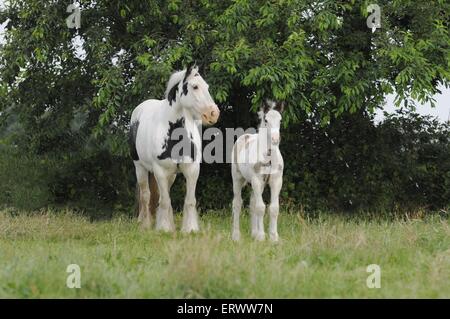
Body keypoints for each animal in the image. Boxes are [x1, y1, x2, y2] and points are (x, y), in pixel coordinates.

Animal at [129, 63, 221, 232]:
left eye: (207, 86)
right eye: (195, 86)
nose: (213, 113)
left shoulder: (192, 169)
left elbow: (189, 200)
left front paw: (190, 229)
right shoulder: (159, 170)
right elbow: (163, 200)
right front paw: (164, 228)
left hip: (170, 175)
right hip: (140, 167)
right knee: (145, 195)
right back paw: (144, 223)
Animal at [232, 101, 284, 241]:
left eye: (280, 120)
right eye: (266, 120)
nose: (275, 139)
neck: (268, 157)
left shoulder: (276, 181)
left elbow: (273, 208)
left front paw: (274, 237)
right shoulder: (257, 180)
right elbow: (261, 208)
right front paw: (261, 237)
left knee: (253, 204)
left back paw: (254, 233)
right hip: (238, 179)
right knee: (237, 204)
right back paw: (236, 235)